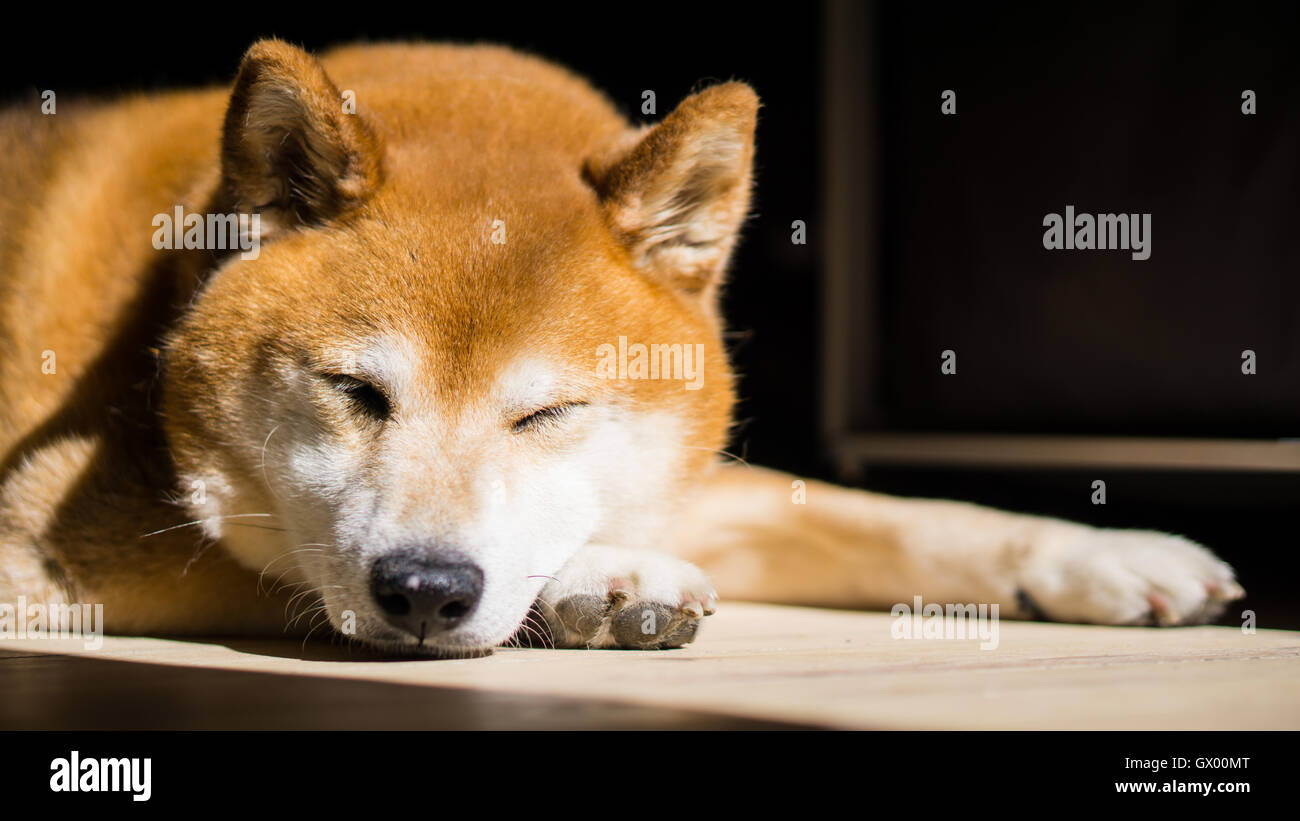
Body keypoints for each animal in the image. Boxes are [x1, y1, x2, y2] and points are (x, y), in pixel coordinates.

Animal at [0, 38, 1242, 657]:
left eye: (547, 413)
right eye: (354, 390)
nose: (425, 588)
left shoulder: (665, 469)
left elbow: (884, 514)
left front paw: (1099, 551)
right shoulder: (51, 538)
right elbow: (291, 569)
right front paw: (599, 578)